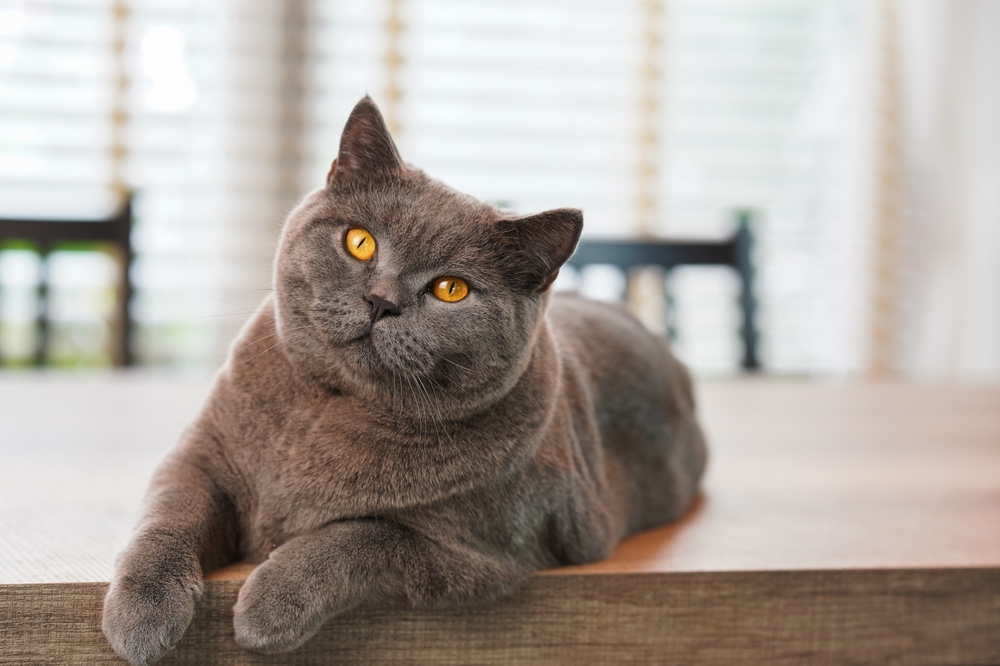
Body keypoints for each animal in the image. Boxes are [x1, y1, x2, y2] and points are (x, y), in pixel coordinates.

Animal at [101, 96, 708, 660]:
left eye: (450, 289)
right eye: (360, 241)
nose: (381, 301)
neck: (323, 413)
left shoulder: (484, 550)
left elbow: (363, 536)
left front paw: (269, 606)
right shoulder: (202, 458)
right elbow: (167, 518)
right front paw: (140, 617)